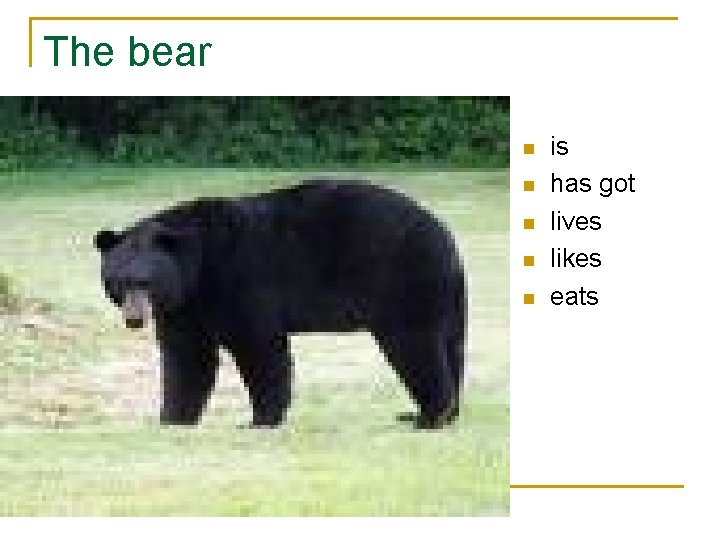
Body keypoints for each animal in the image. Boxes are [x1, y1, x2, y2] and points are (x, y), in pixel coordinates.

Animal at [94, 179, 466, 429]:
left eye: (145, 281)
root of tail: (447, 236)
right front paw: (171, 419)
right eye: (119, 282)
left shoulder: (238, 278)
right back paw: (443, 413)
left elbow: (259, 346)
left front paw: (260, 420)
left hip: (403, 281)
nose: (134, 319)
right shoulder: (184, 306)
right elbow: (187, 356)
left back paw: (429, 417)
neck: (197, 266)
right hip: (447, 298)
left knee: (416, 345)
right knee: (451, 346)